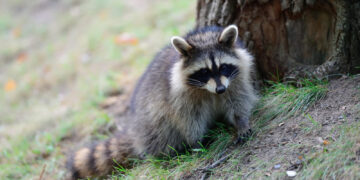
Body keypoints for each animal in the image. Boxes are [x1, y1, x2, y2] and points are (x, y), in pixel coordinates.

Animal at [67, 25, 256, 179]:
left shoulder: (235, 80)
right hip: (152, 122)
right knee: (162, 132)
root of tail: (135, 132)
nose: (220, 89)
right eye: (204, 72)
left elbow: (238, 101)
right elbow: (188, 119)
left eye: (223, 67)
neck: (208, 90)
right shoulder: (180, 96)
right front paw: (196, 140)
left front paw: (241, 122)